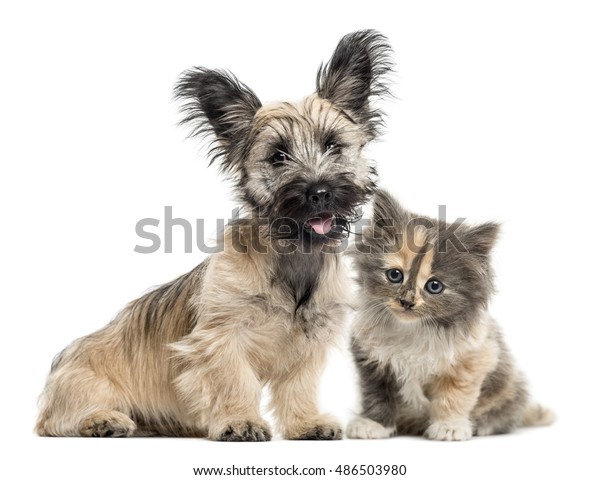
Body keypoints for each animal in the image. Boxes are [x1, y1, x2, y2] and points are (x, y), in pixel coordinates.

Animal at [36, 30, 394, 440]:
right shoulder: (222, 337)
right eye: (278, 156)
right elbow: (233, 380)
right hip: (87, 383)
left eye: (333, 145)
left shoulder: (309, 342)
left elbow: (298, 386)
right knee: (56, 419)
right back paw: (101, 420)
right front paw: (240, 421)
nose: (318, 192)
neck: (294, 256)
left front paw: (305, 422)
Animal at [346, 189, 552, 440]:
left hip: (510, 387)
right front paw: (373, 424)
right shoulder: (371, 359)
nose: (407, 302)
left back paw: (483, 426)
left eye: (434, 286)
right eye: (394, 275)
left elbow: (453, 396)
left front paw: (449, 426)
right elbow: (376, 396)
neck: (413, 328)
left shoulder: (472, 359)